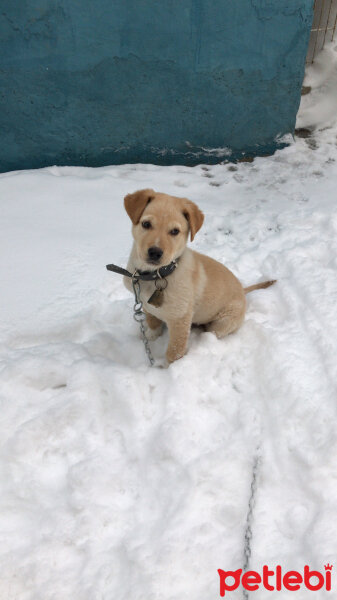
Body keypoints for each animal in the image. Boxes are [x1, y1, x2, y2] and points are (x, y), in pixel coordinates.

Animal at [122, 190, 274, 364]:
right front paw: (150, 337)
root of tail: (243, 290)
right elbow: (153, 324)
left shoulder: (180, 319)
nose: (155, 252)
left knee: (213, 332)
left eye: (175, 231)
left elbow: (174, 352)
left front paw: (170, 368)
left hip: (223, 321)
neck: (154, 275)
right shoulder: (147, 306)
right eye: (146, 224)